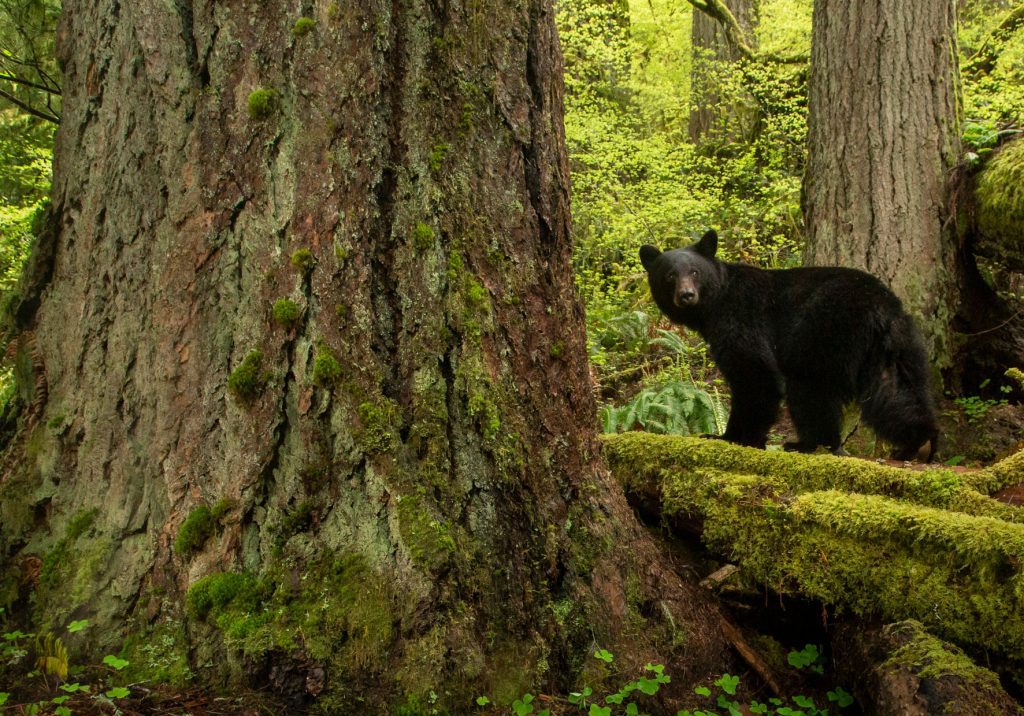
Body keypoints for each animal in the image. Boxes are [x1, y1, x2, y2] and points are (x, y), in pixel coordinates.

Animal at [639, 229, 938, 461]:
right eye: (669, 275)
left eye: (694, 271)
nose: (687, 295)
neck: (713, 307)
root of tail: (882, 304)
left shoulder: (741, 318)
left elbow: (755, 374)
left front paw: (731, 436)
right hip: (892, 346)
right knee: (896, 391)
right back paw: (919, 442)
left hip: (822, 332)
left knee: (809, 387)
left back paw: (806, 442)